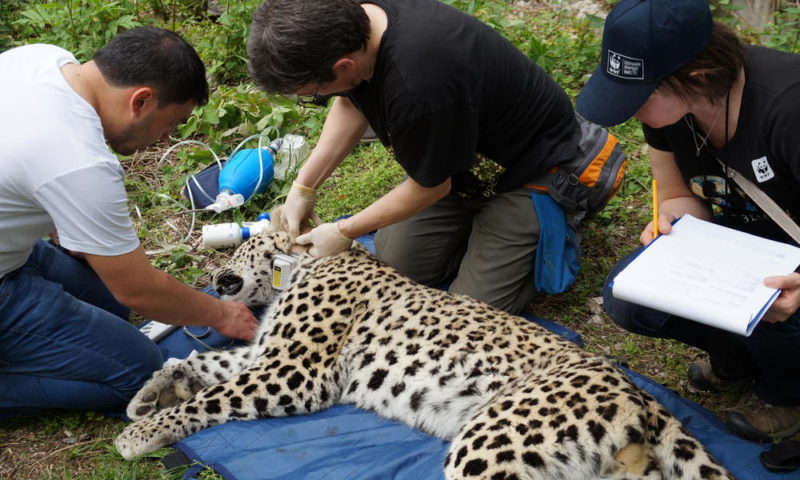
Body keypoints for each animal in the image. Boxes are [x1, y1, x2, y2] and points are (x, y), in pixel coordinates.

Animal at [115, 231, 736, 478]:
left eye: (241, 244)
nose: (214, 273)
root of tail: (638, 393)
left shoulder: (294, 372)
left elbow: (214, 395)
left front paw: (141, 432)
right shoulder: (269, 358)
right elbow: (204, 366)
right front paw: (151, 393)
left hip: (491, 441)